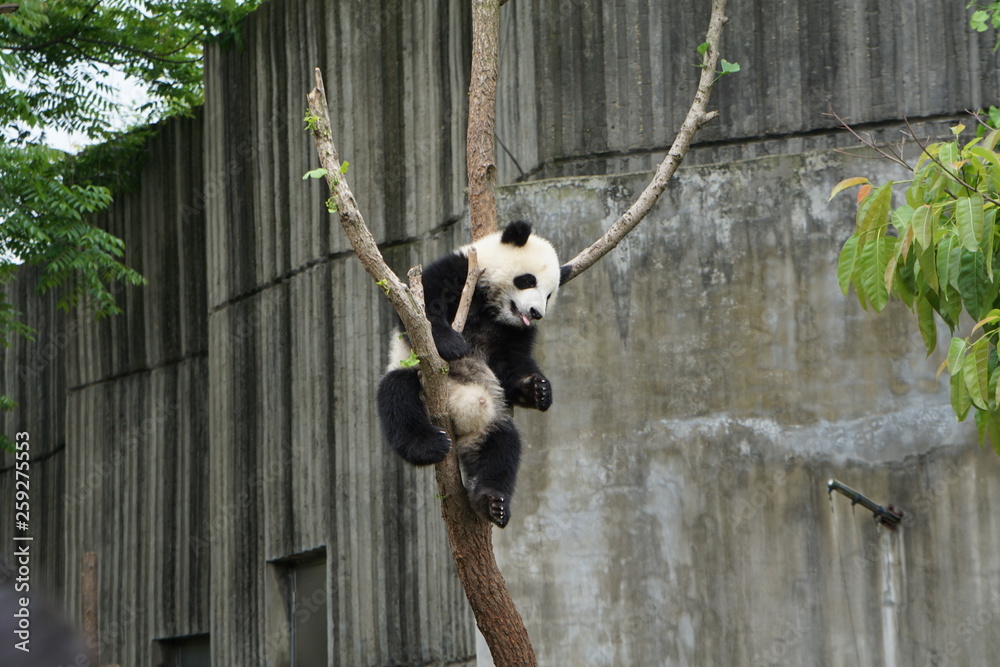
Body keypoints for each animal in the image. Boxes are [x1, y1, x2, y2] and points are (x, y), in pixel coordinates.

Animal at [376, 220, 568, 528]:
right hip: (413, 375)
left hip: (490, 417)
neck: (492, 306)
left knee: (503, 446)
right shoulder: (458, 271)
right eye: (528, 280)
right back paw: (430, 445)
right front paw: (452, 344)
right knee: (397, 397)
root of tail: (460, 421)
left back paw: (492, 502)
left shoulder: (514, 332)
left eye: (549, 295)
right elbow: (422, 310)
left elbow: (511, 363)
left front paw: (538, 389)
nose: (536, 312)